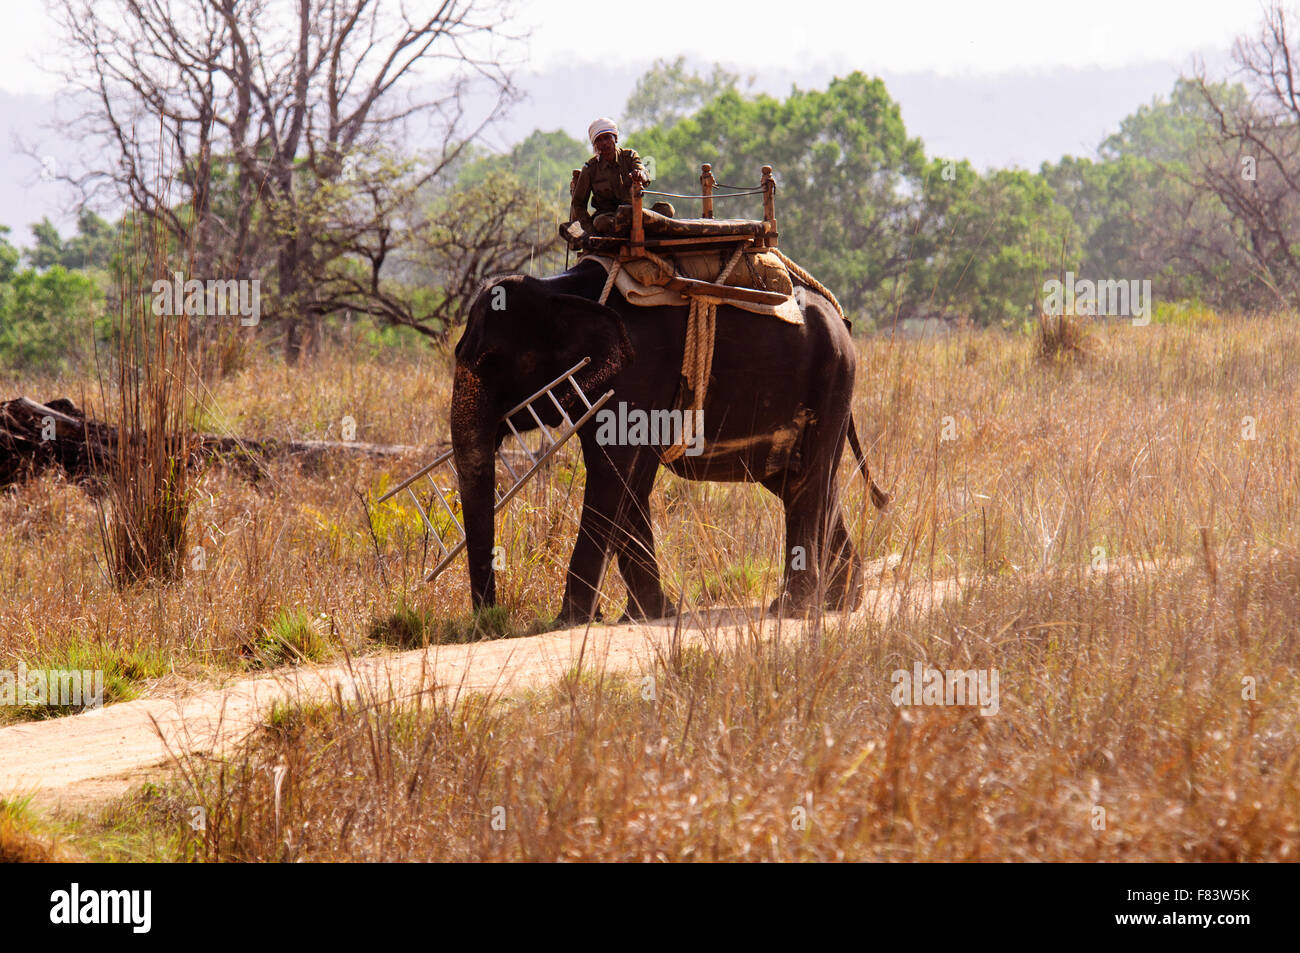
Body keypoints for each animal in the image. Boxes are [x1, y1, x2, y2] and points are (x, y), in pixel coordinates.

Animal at [452, 256, 889, 624]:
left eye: (492, 362)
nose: (489, 620)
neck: (558, 289)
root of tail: (842, 319)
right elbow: (628, 480)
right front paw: (647, 616)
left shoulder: (639, 371)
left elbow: (614, 472)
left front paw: (571, 621)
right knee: (806, 482)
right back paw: (840, 603)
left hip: (833, 376)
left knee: (809, 483)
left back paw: (793, 610)